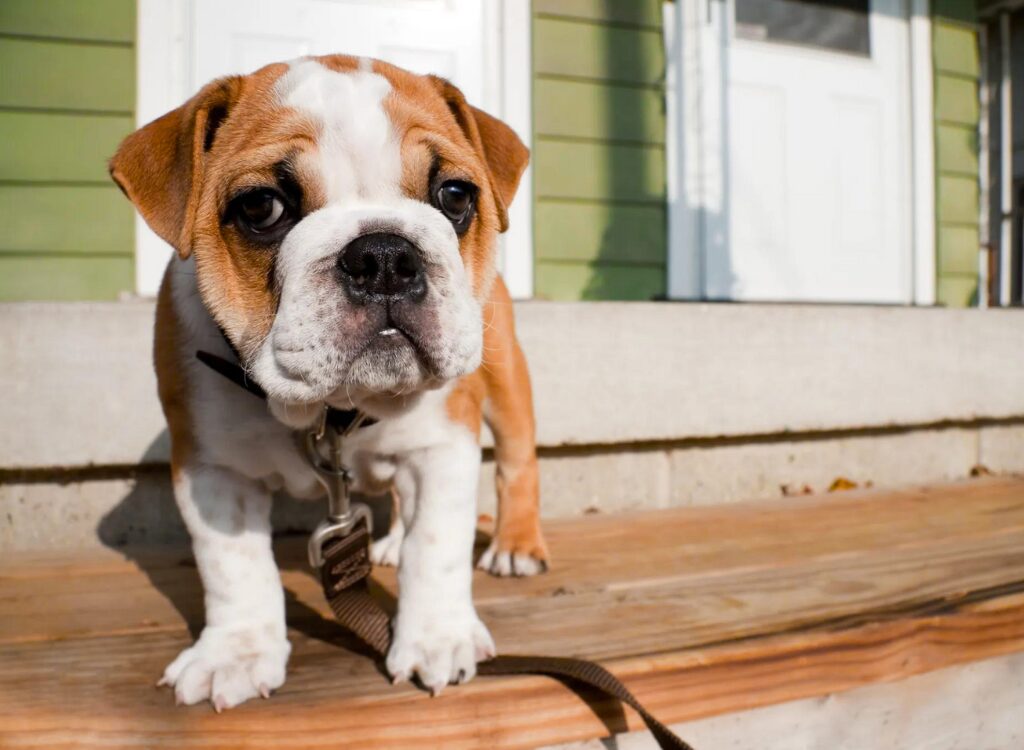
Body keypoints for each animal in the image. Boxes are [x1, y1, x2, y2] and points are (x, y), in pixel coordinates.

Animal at [108, 57, 548, 709]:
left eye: (454, 195)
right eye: (261, 207)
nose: (385, 255)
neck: (334, 408)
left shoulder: (443, 444)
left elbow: (436, 545)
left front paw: (437, 637)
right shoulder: (212, 468)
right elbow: (233, 565)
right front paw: (235, 652)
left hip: (506, 379)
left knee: (518, 464)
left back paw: (516, 546)